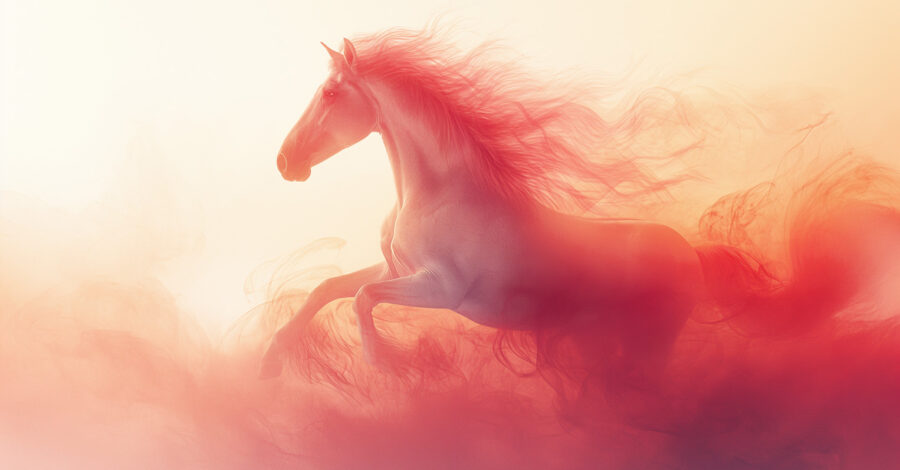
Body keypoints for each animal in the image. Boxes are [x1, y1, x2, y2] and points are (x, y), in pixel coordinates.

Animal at [258, 30, 707, 380]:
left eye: (330, 93)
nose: (284, 162)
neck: (437, 195)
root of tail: (692, 254)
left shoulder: (440, 289)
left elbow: (363, 297)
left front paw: (387, 365)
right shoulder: (397, 269)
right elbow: (328, 289)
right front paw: (271, 361)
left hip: (649, 345)